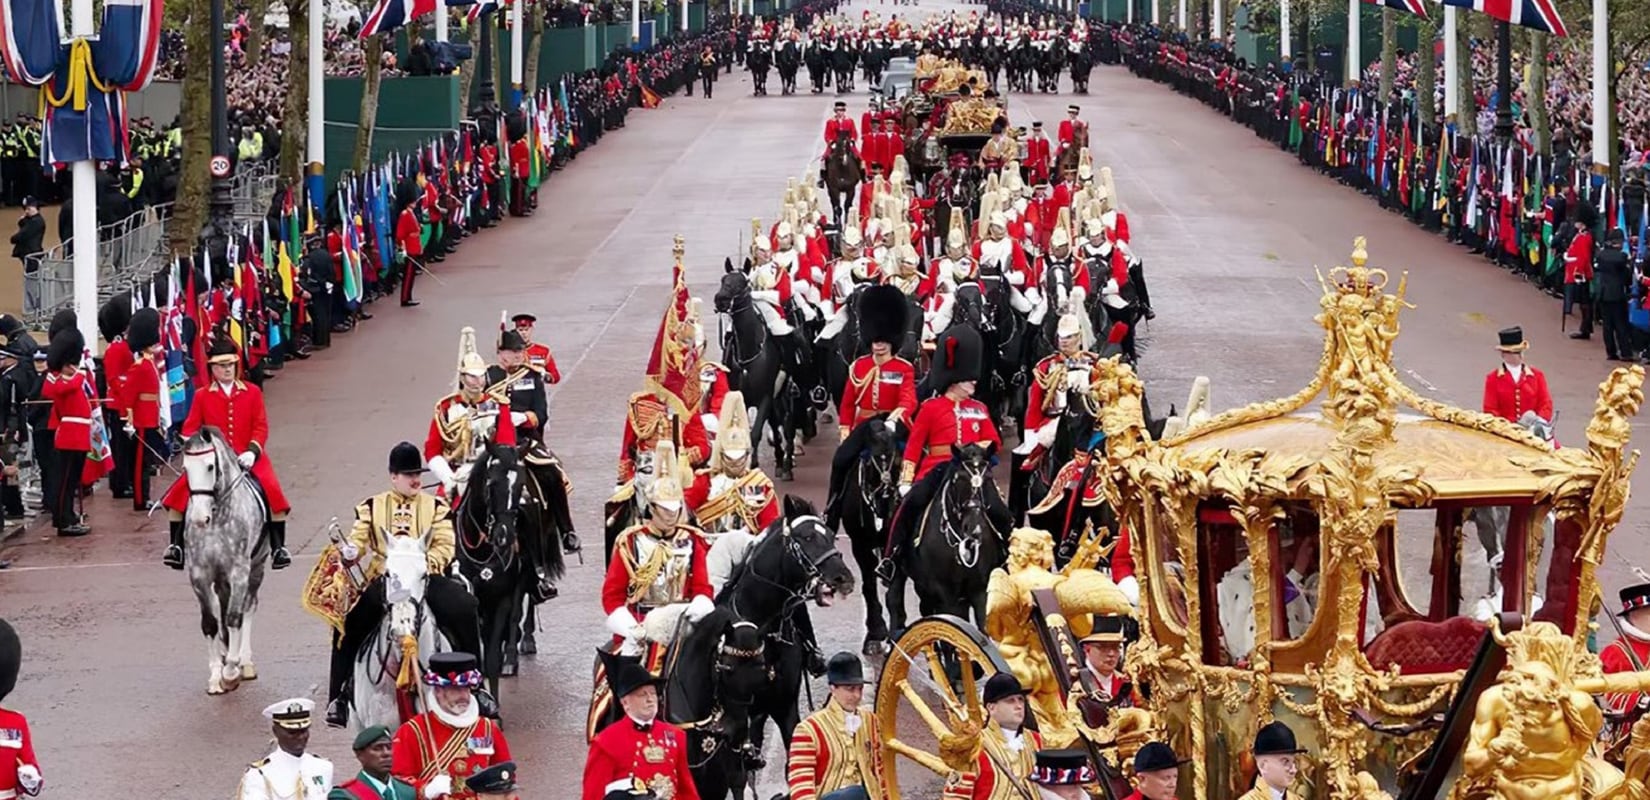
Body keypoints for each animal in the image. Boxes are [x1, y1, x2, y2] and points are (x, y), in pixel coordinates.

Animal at [181, 428, 268, 696]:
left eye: (210, 466)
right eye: (185, 468)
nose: (200, 518)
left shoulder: (239, 572)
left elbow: (233, 618)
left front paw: (230, 671)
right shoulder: (199, 575)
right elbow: (210, 623)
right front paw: (215, 676)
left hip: (256, 570)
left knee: (247, 608)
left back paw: (244, 662)